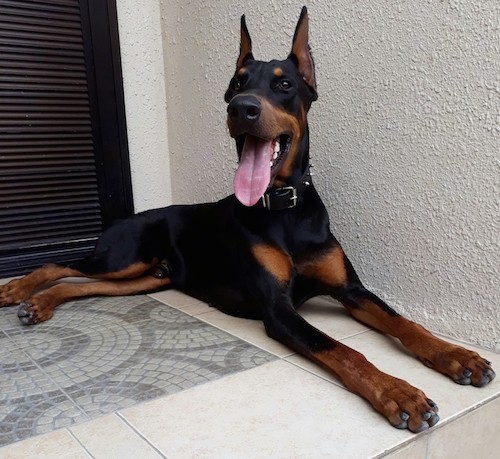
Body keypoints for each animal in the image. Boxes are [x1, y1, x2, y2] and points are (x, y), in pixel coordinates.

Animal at [0, 5, 494, 434]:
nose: (242, 108)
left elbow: (405, 323)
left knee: (79, 284)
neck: (285, 209)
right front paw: (400, 393)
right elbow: (345, 351)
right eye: (237, 84)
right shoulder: (277, 309)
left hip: (150, 276)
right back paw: (19, 291)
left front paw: (457, 355)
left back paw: (39, 304)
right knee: (60, 265)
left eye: (284, 84)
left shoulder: (351, 290)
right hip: (124, 257)